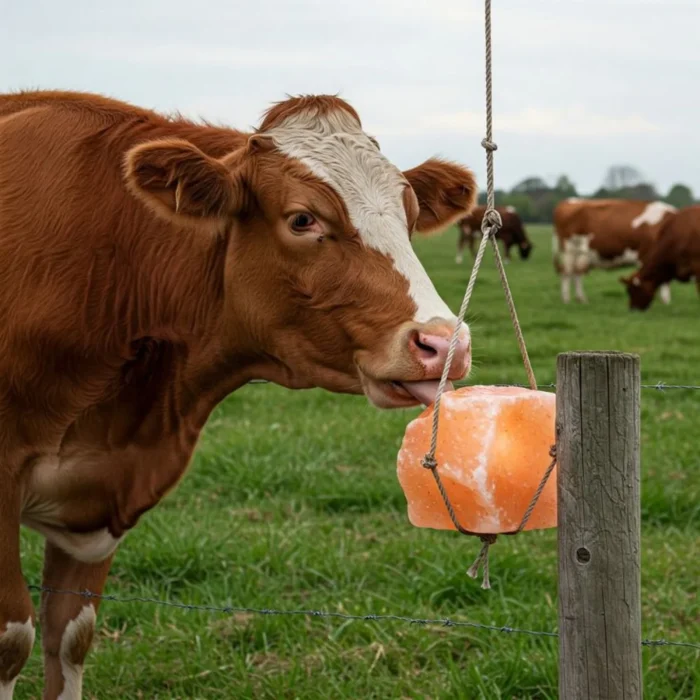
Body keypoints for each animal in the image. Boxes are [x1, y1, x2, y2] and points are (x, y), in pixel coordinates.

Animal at [0, 90, 478, 699]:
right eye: (302, 219)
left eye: (411, 218)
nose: (444, 344)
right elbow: (12, 639)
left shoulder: (98, 494)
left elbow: (70, 634)